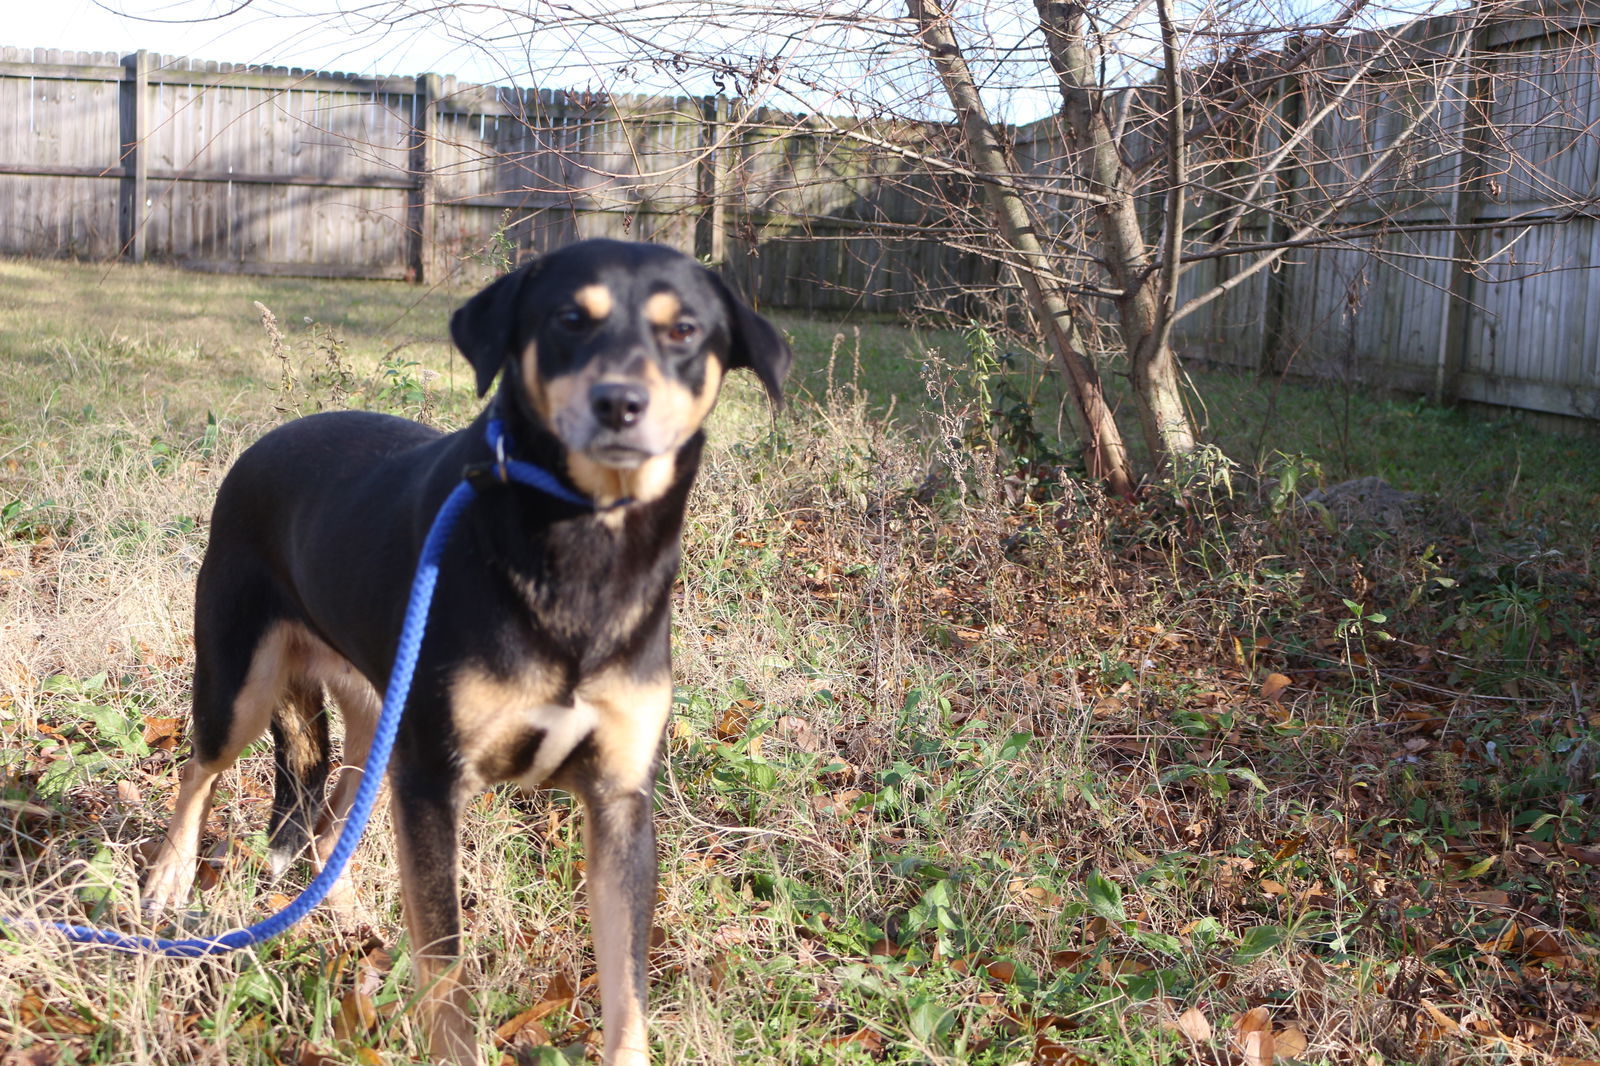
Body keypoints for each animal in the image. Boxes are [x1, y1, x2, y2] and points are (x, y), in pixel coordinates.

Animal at [144, 238, 793, 1062]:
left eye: (684, 331)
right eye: (570, 319)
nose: (620, 404)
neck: (582, 544)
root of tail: (263, 445)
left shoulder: (620, 803)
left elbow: (626, 997)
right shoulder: (430, 784)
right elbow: (446, 967)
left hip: (374, 730)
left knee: (325, 831)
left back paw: (347, 923)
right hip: (243, 687)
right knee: (201, 769)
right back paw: (167, 884)